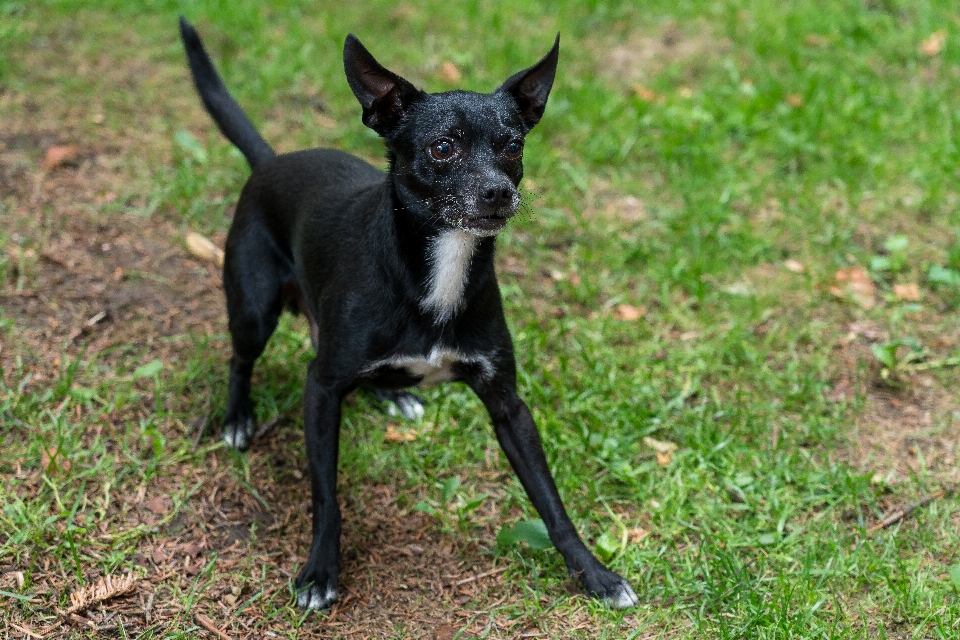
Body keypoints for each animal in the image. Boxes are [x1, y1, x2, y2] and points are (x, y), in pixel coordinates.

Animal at [178, 18, 636, 608]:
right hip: (254, 308)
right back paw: (238, 418)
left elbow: (551, 503)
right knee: (241, 358)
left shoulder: (508, 404)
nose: (499, 192)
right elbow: (326, 496)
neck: (436, 272)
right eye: (442, 148)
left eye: (512, 146)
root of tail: (272, 159)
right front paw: (319, 572)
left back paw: (392, 394)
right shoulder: (321, 388)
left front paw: (594, 574)